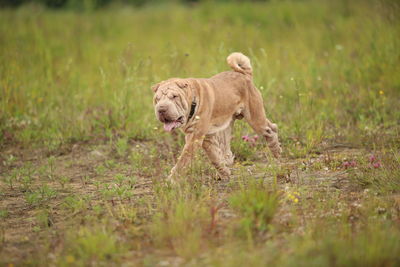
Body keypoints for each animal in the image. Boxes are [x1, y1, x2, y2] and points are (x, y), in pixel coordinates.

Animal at [152, 52, 282, 182]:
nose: (161, 109)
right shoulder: (205, 138)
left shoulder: (194, 137)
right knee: (228, 148)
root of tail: (245, 75)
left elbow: (184, 159)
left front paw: (171, 180)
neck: (193, 101)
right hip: (228, 125)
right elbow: (214, 156)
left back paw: (277, 152)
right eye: (157, 99)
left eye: (174, 96)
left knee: (270, 129)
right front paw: (224, 173)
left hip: (255, 118)